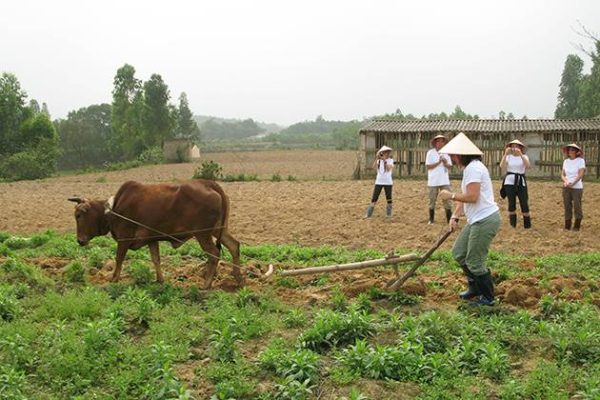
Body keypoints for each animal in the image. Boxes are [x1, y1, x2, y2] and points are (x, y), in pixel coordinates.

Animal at [68, 180, 241, 290]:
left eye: (78, 215)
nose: (79, 241)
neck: (113, 209)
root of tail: (209, 183)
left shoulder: (124, 238)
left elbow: (119, 259)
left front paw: (114, 279)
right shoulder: (152, 239)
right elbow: (156, 259)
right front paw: (159, 280)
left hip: (202, 233)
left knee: (214, 253)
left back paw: (206, 285)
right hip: (219, 229)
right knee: (234, 246)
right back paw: (238, 278)